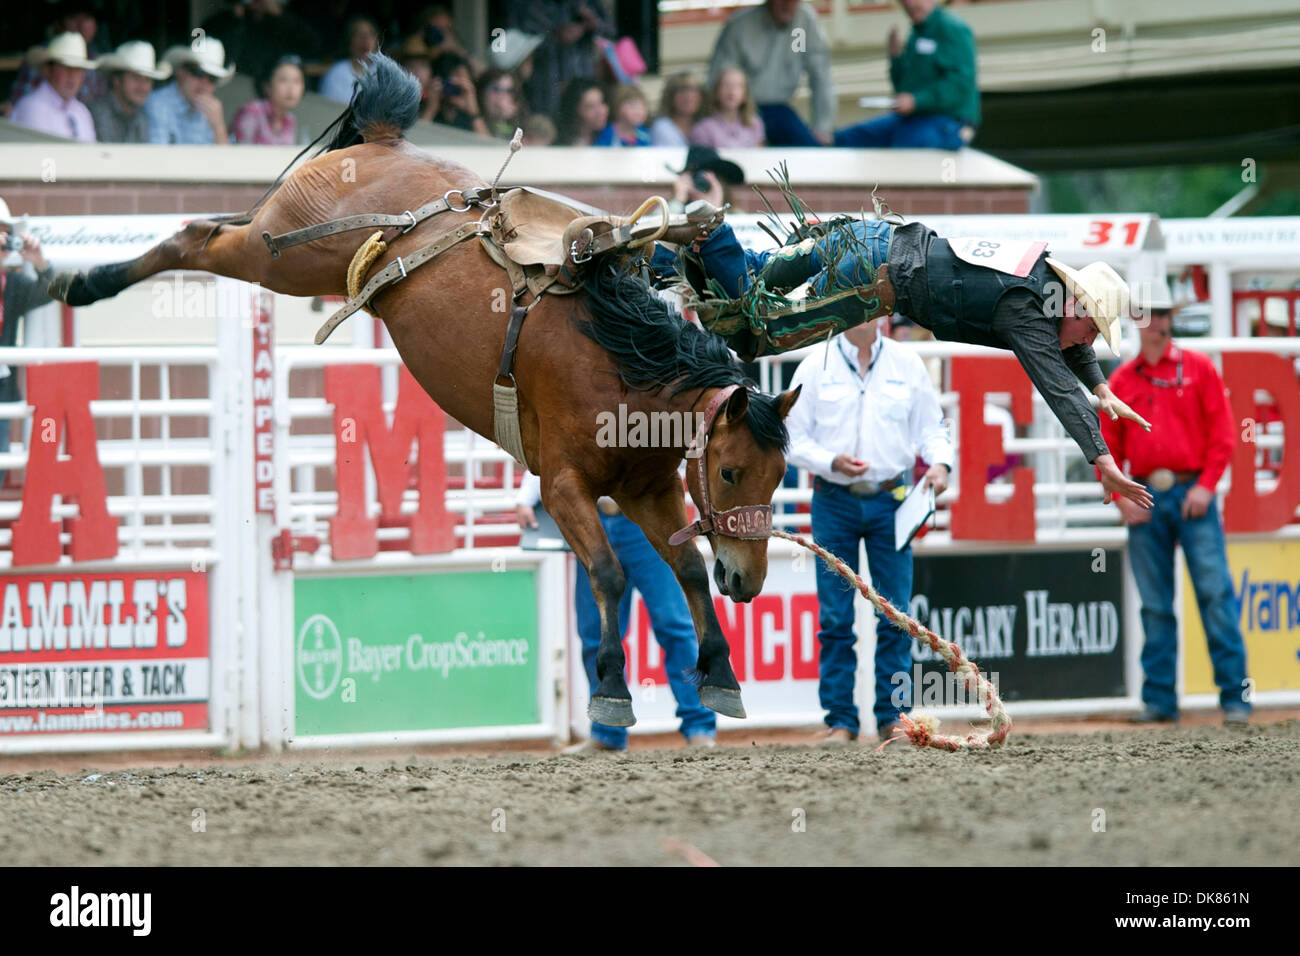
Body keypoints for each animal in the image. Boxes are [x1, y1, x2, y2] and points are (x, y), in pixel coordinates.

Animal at [48, 54, 800, 723]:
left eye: (778, 475)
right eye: (730, 472)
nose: (750, 581)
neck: (622, 363)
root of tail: (383, 143)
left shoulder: (650, 488)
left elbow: (689, 569)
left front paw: (720, 674)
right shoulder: (563, 486)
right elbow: (610, 572)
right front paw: (611, 688)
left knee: (211, 225)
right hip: (280, 252)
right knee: (194, 236)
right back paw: (84, 280)